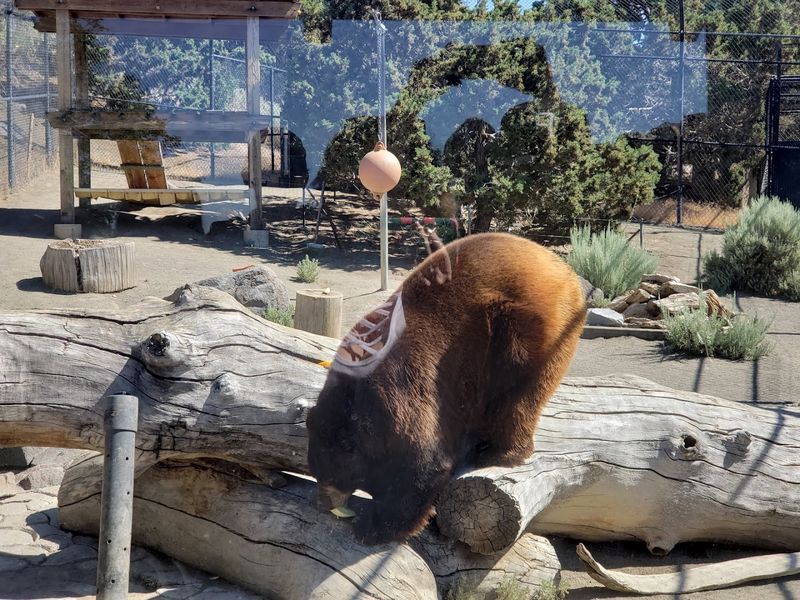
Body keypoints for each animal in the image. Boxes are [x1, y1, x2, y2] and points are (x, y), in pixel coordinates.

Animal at [306, 232, 586, 545]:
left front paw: (372, 526)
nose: (321, 501)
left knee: (518, 393)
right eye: (315, 470)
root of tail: (565, 270)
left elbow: (420, 464)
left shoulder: (403, 392)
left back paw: (496, 451)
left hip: (530, 330)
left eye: (328, 475)